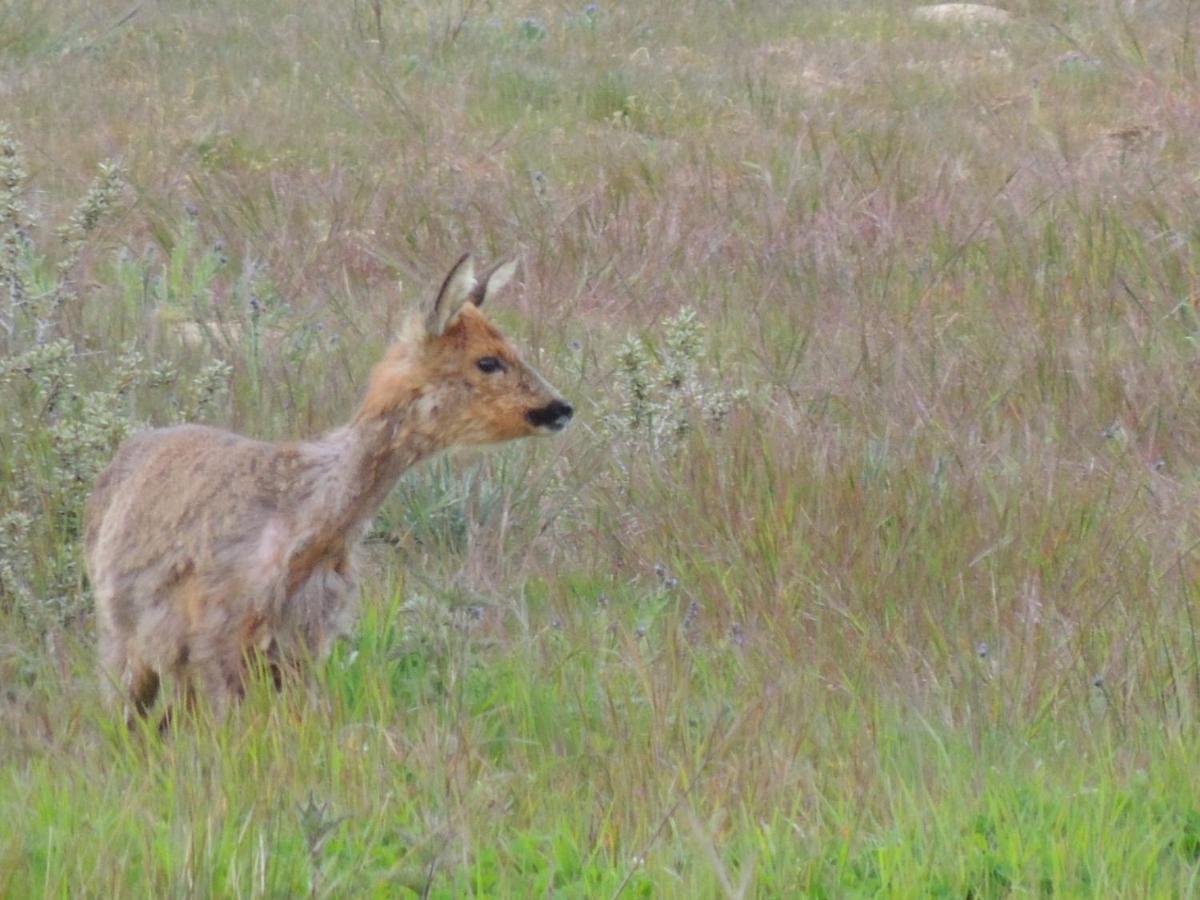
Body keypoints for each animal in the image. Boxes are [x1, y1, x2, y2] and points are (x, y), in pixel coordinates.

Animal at [83, 252, 571, 724]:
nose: (561, 408)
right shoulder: (216, 631)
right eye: (487, 361)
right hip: (121, 638)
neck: (304, 519)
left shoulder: (305, 637)